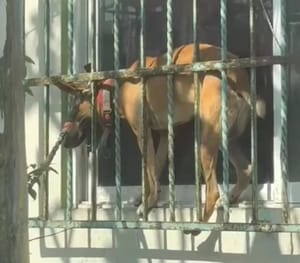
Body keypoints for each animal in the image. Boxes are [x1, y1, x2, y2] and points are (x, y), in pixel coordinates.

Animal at [55, 43, 264, 223]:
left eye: (74, 109)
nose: (63, 140)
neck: (114, 88)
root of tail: (239, 77)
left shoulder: (142, 132)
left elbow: (149, 169)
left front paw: (149, 202)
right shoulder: (165, 134)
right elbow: (155, 166)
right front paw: (144, 196)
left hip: (206, 137)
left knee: (213, 190)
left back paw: (199, 224)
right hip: (223, 137)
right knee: (245, 170)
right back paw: (230, 198)